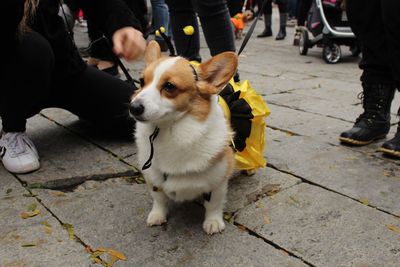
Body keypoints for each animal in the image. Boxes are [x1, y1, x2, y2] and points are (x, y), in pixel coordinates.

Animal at [130, 40, 238, 236]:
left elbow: (214, 204)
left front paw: (213, 222)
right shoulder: (153, 176)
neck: (169, 131)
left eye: (169, 86)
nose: (133, 108)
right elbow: (158, 199)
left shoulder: (218, 181)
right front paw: (157, 215)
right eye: (141, 82)